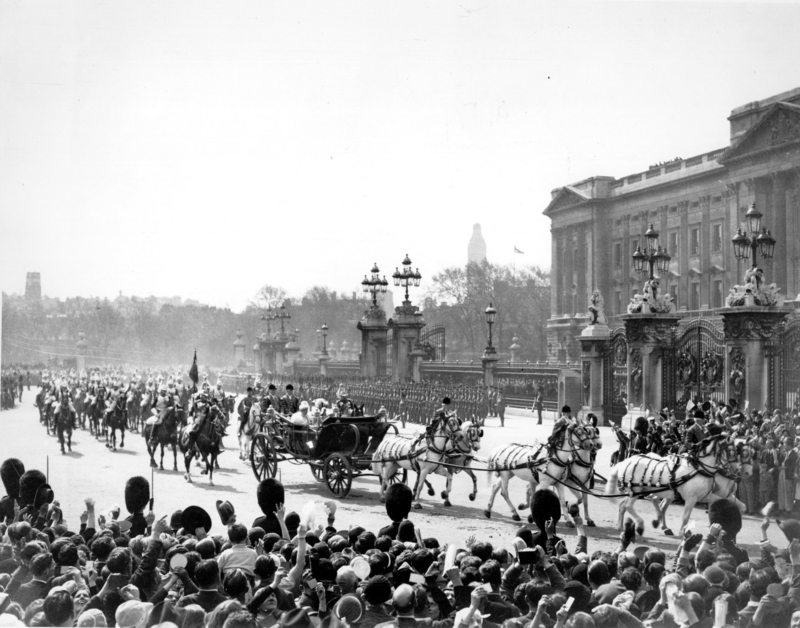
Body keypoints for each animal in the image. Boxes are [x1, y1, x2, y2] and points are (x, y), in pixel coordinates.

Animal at [608, 436, 736, 536]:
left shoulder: (706, 496)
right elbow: (686, 517)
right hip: (636, 490)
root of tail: (624, 462)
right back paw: (641, 525)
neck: (698, 468)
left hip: (634, 492)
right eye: (731, 450)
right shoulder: (691, 499)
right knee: (628, 506)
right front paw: (682, 532)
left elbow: (723, 502)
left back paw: (620, 526)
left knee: (623, 506)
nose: (735, 472)